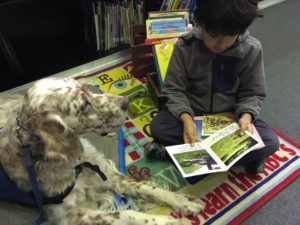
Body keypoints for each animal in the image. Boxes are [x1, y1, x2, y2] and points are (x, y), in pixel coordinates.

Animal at [0, 78, 203, 225]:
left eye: (86, 89)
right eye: (84, 105)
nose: (125, 101)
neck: (77, 165)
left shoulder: (105, 172)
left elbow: (147, 188)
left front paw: (183, 201)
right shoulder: (71, 217)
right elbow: (125, 214)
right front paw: (165, 221)